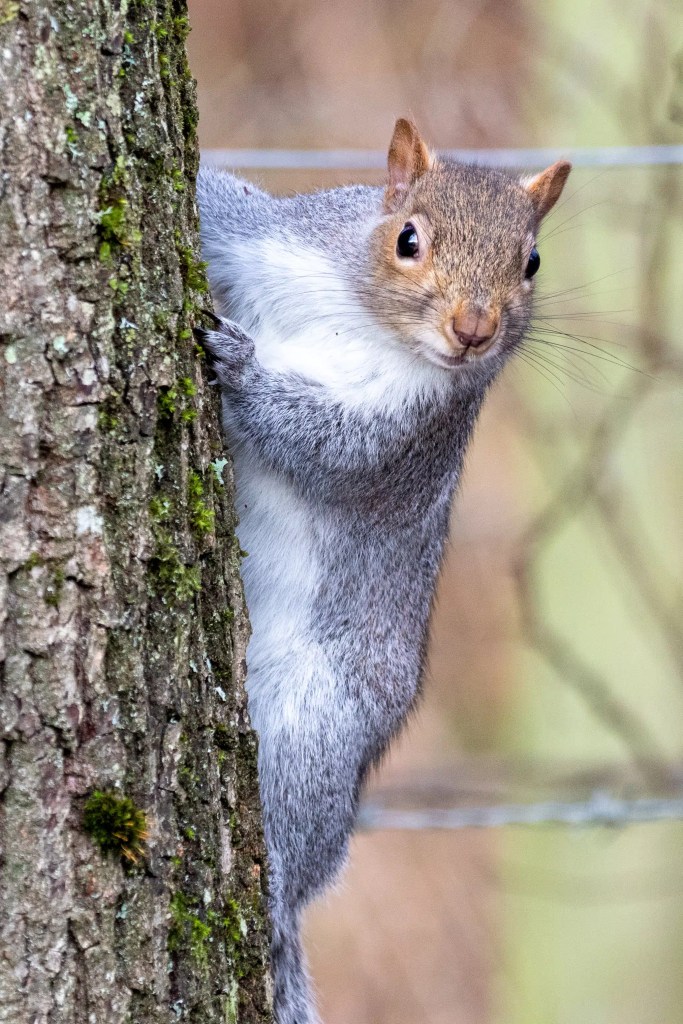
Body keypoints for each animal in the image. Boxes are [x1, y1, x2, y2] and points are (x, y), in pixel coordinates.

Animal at [195, 118, 570, 1024]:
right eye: (407, 239)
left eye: (531, 262)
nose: (473, 330)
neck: (368, 322)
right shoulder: (277, 236)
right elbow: (219, 201)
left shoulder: (408, 435)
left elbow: (329, 447)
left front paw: (242, 366)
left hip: (311, 725)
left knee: (291, 852)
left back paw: (273, 884)